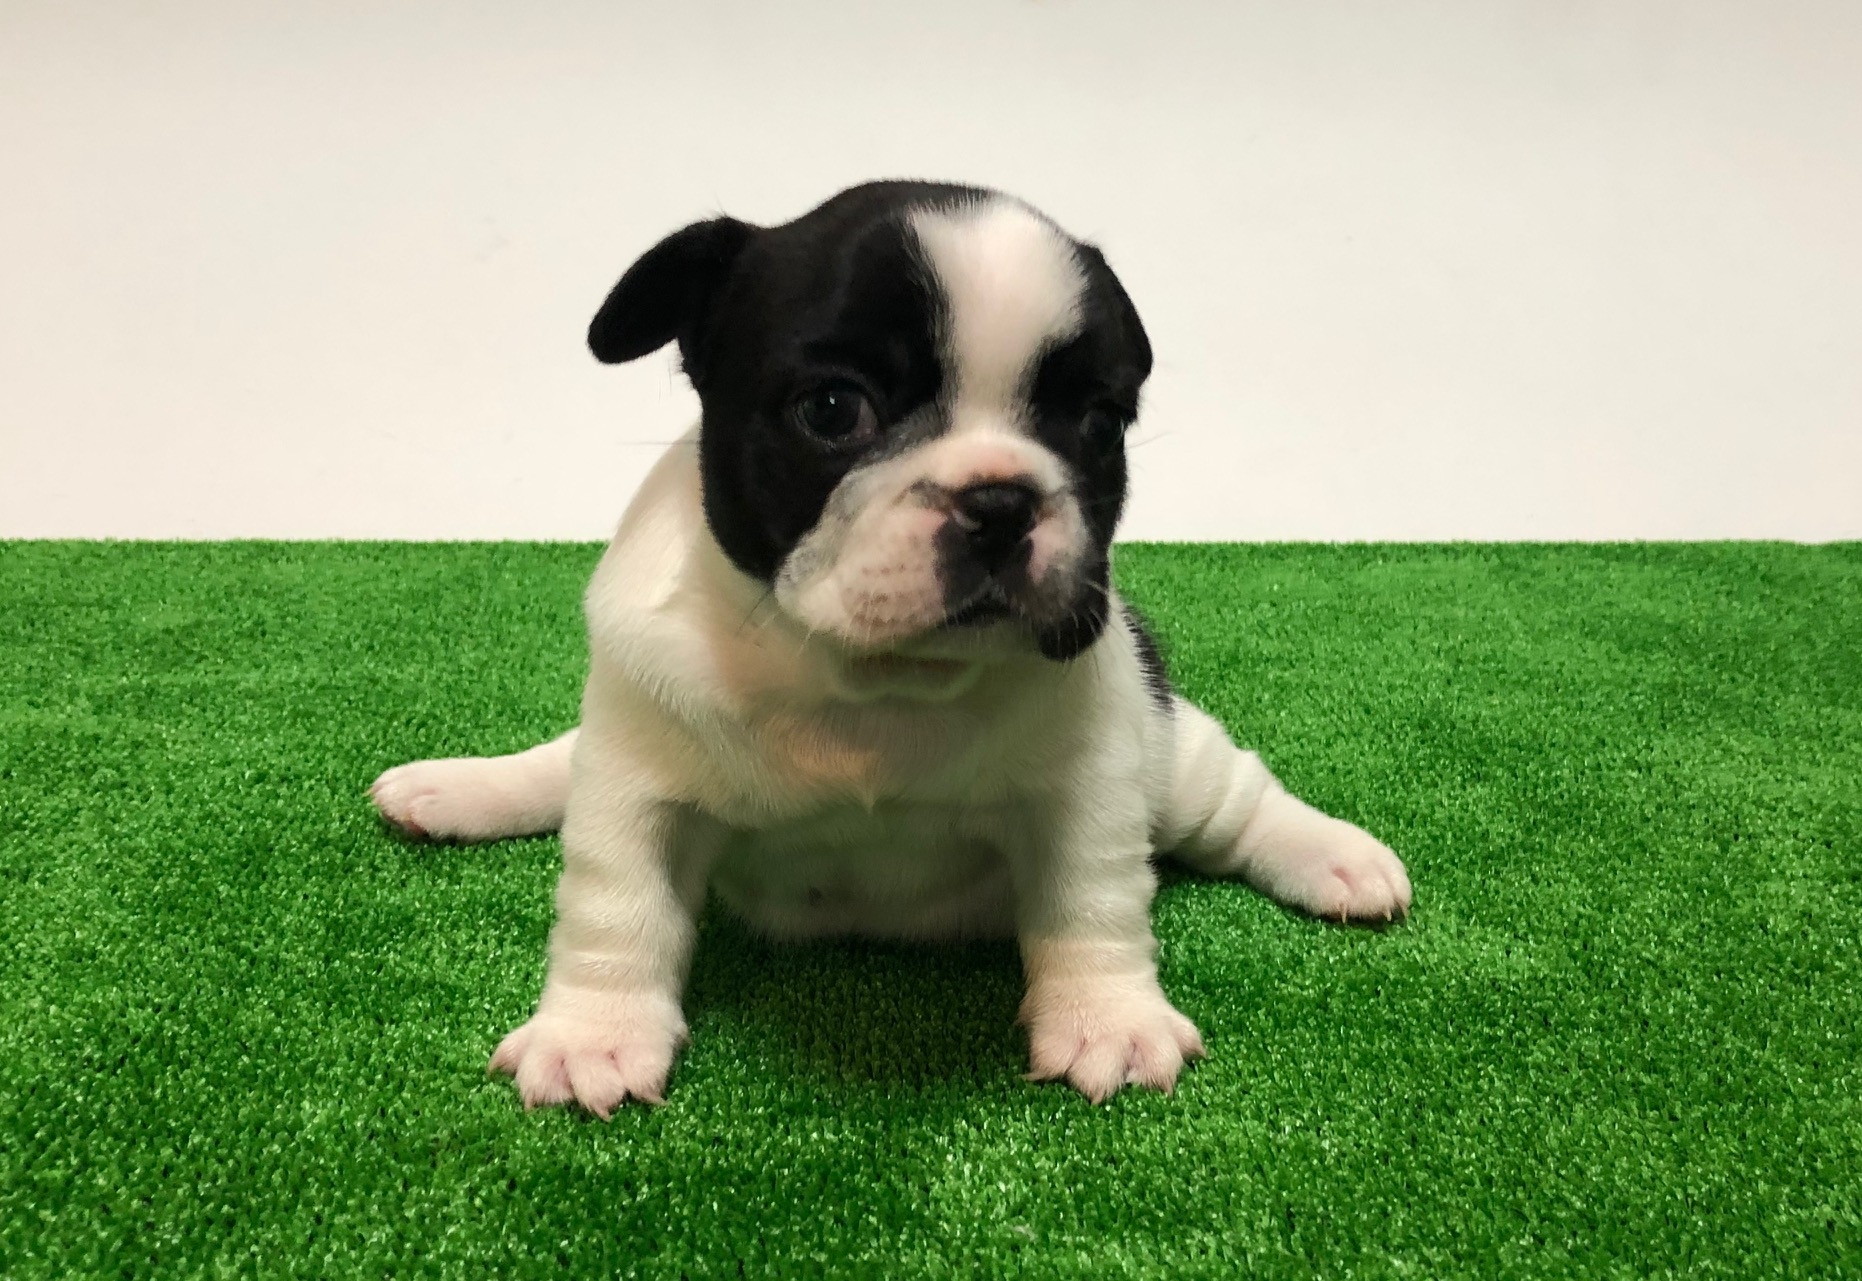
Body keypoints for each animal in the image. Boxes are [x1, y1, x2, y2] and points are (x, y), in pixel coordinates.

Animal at [370, 180, 1411, 1115]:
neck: (871, 683)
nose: (1002, 500)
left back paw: (1336, 857)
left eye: (1099, 423)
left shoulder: (1087, 787)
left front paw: (1107, 1018)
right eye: (834, 409)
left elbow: (1093, 900)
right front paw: (593, 1033)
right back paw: (457, 788)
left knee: (1238, 801)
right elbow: (615, 902)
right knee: (564, 765)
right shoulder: (636, 784)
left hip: (1168, 753)